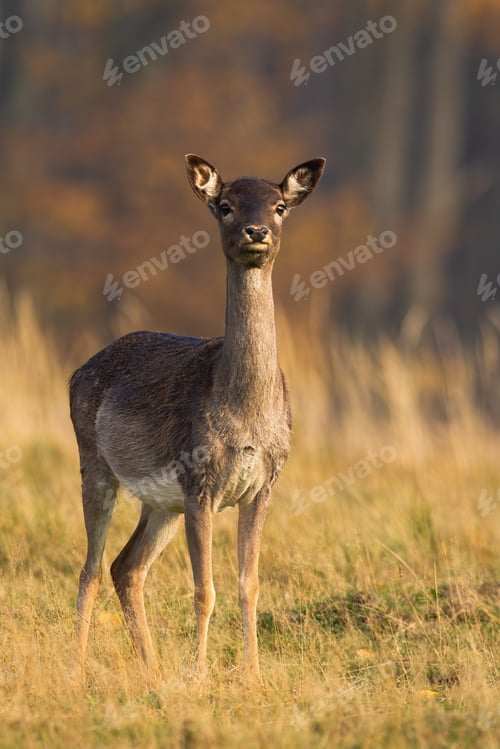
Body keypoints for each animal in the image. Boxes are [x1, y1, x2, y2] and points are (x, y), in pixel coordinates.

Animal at [69, 154, 325, 683]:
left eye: (280, 206)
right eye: (225, 205)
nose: (256, 231)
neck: (246, 419)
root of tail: (76, 372)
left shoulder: (265, 483)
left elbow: (249, 584)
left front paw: (252, 676)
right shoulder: (199, 479)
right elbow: (205, 590)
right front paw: (198, 674)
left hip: (161, 502)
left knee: (126, 567)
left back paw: (151, 669)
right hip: (95, 462)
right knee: (91, 566)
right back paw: (77, 671)